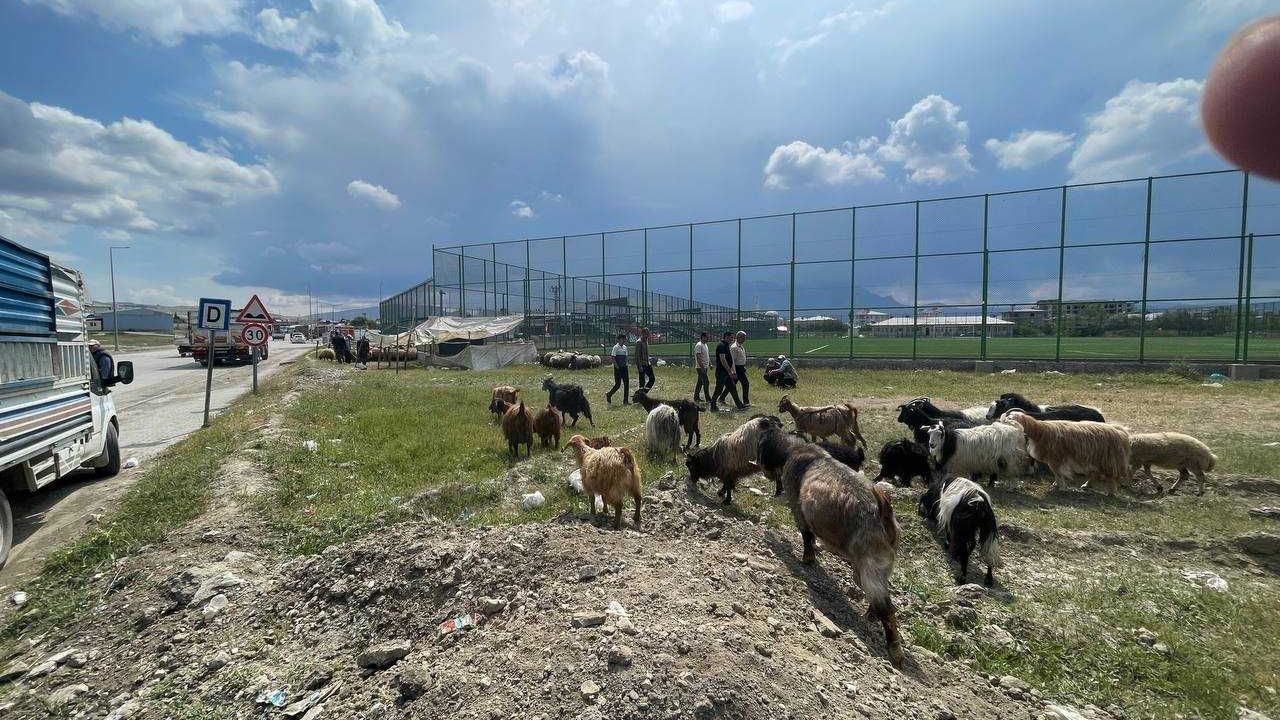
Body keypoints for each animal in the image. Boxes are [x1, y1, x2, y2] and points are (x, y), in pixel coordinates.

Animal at [756, 438, 905, 667]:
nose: (763, 469)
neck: (795, 451)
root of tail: (884, 514)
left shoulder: (797, 504)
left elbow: (806, 535)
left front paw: (807, 559)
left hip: (870, 564)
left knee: (887, 607)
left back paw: (895, 651)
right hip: (878, 566)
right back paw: (870, 615)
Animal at [1001, 410, 1130, 494]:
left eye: (1010, 420)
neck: (1040, 432)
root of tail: (1121, 433)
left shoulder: (1056, 458)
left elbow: (1058, 472)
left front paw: (1061, 487)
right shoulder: (1054, 459)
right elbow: (1056, 473)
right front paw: (1056, 484)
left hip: (1108, 459)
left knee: (1110, 477)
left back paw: (1111, 492)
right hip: (1097, 458)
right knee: (1096, 473)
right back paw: (1086, 485)